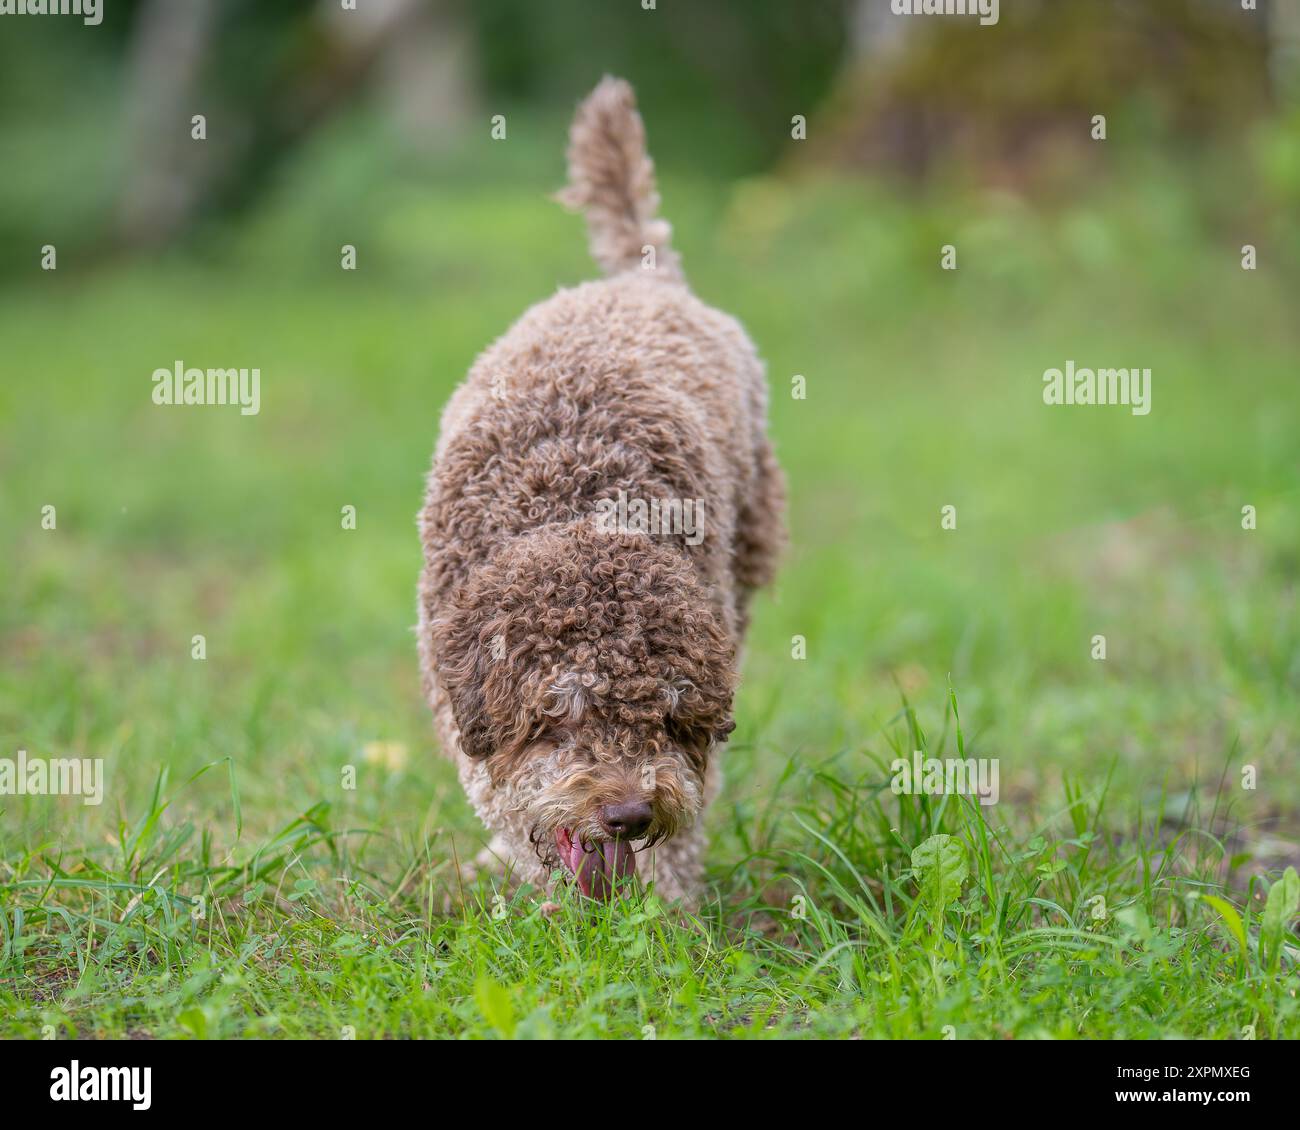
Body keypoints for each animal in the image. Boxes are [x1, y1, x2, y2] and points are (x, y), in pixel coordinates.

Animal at [416, 75, 780, 905]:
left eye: (669, 719)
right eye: (559, 718)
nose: (629, 814)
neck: (574, 507)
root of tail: (643, 279)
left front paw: (669, 908)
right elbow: (501, 797)